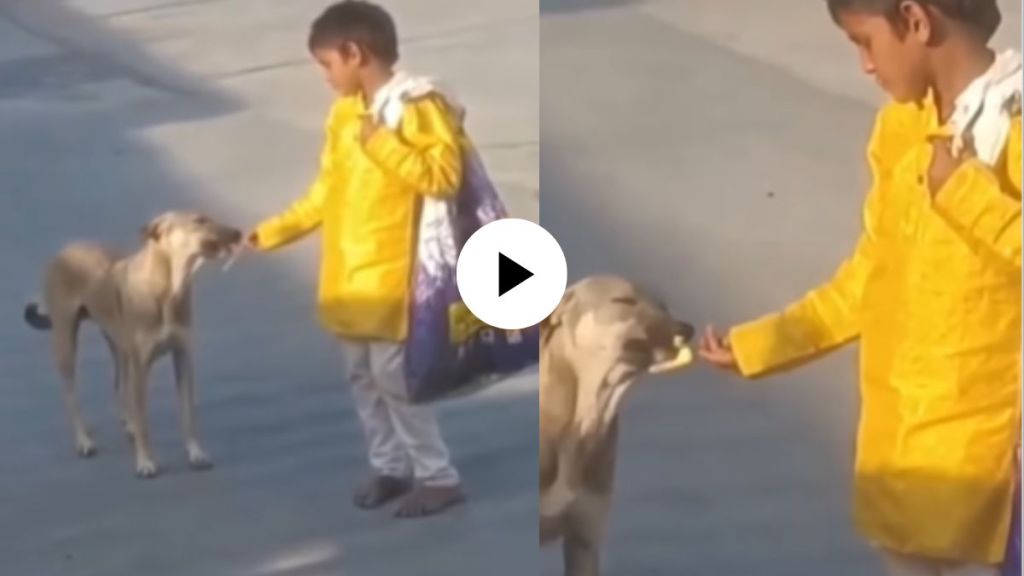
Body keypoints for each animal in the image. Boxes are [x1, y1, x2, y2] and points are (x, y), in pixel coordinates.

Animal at [24, 211, 241, 475]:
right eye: (199, 220)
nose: (238, 233)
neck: (167, 288)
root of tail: (65, 250)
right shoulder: (141, 367)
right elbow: (144, 420)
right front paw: (145, 461)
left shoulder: (182, 357)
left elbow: (188, 413)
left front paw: (195, 452)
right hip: (66, 342)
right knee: (70, 394)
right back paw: (84, 440)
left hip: (119, 347)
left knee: (118, 383)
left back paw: (127, 424)